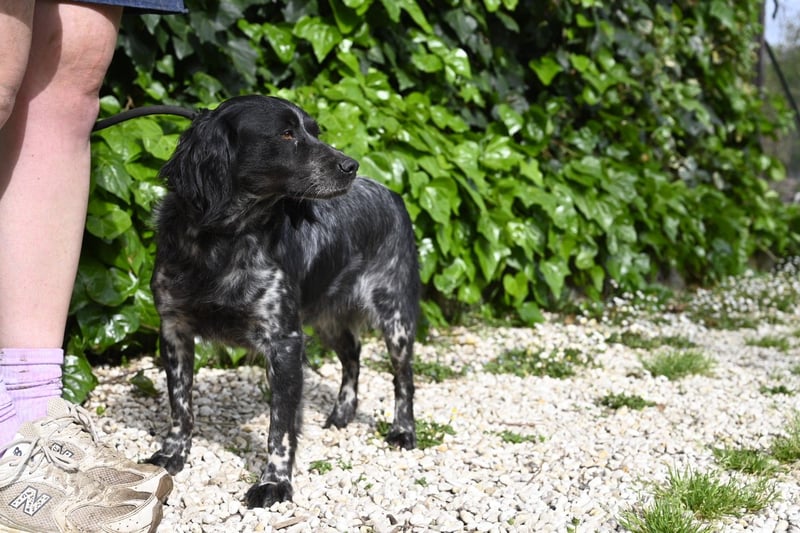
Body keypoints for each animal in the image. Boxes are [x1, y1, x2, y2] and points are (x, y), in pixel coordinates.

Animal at [146, 95, 420, 508]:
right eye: (287, 133)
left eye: (315, 131)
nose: (351, 166)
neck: (224, 241)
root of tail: (393, 194)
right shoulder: (174, 328)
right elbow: (180, 404)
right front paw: (173, 453)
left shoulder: (285, 342)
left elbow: (280, 426)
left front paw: (274, 483)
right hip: (326, 319)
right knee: (352, 356)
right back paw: (342, 413)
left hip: (394, 315)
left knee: (402, 377)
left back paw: (403, 430)